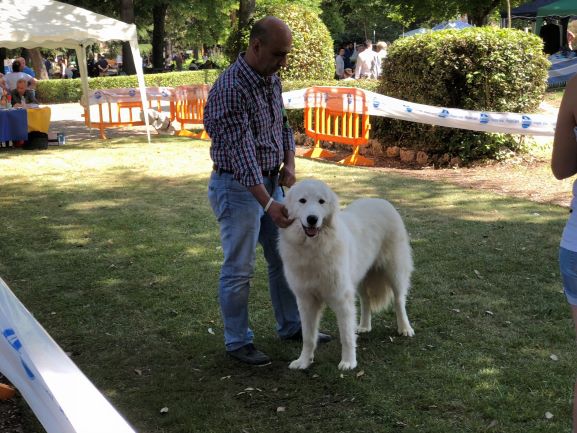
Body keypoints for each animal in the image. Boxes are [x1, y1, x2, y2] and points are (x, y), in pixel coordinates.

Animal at [278, 179, 414, 370]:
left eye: (321, 201)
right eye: (302, 201)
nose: (312, 219)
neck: (314, 248)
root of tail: (380, 200)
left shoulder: (341, 298)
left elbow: (346, 336)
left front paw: (349, 362)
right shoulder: (306, 300)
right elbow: (308, 337)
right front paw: (304, 361)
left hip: (394, 271)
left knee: (399, 300)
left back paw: (405, 328)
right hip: (360, 278)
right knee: (366, 301)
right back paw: (364, 326)